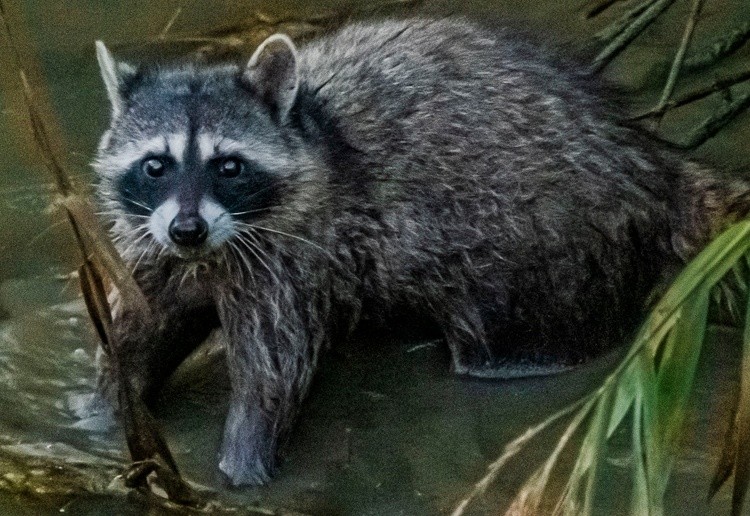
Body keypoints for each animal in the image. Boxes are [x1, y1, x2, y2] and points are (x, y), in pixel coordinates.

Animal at [91, 17, 750, 485]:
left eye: (228, 166)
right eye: (155, 164)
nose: (188, 229)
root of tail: (649, 162)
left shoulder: (294, 259)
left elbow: (270, 379)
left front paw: (244, 467)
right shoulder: (151, 249)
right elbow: (134, 342)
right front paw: (98, 421)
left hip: (551, 244)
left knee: (509, 334)